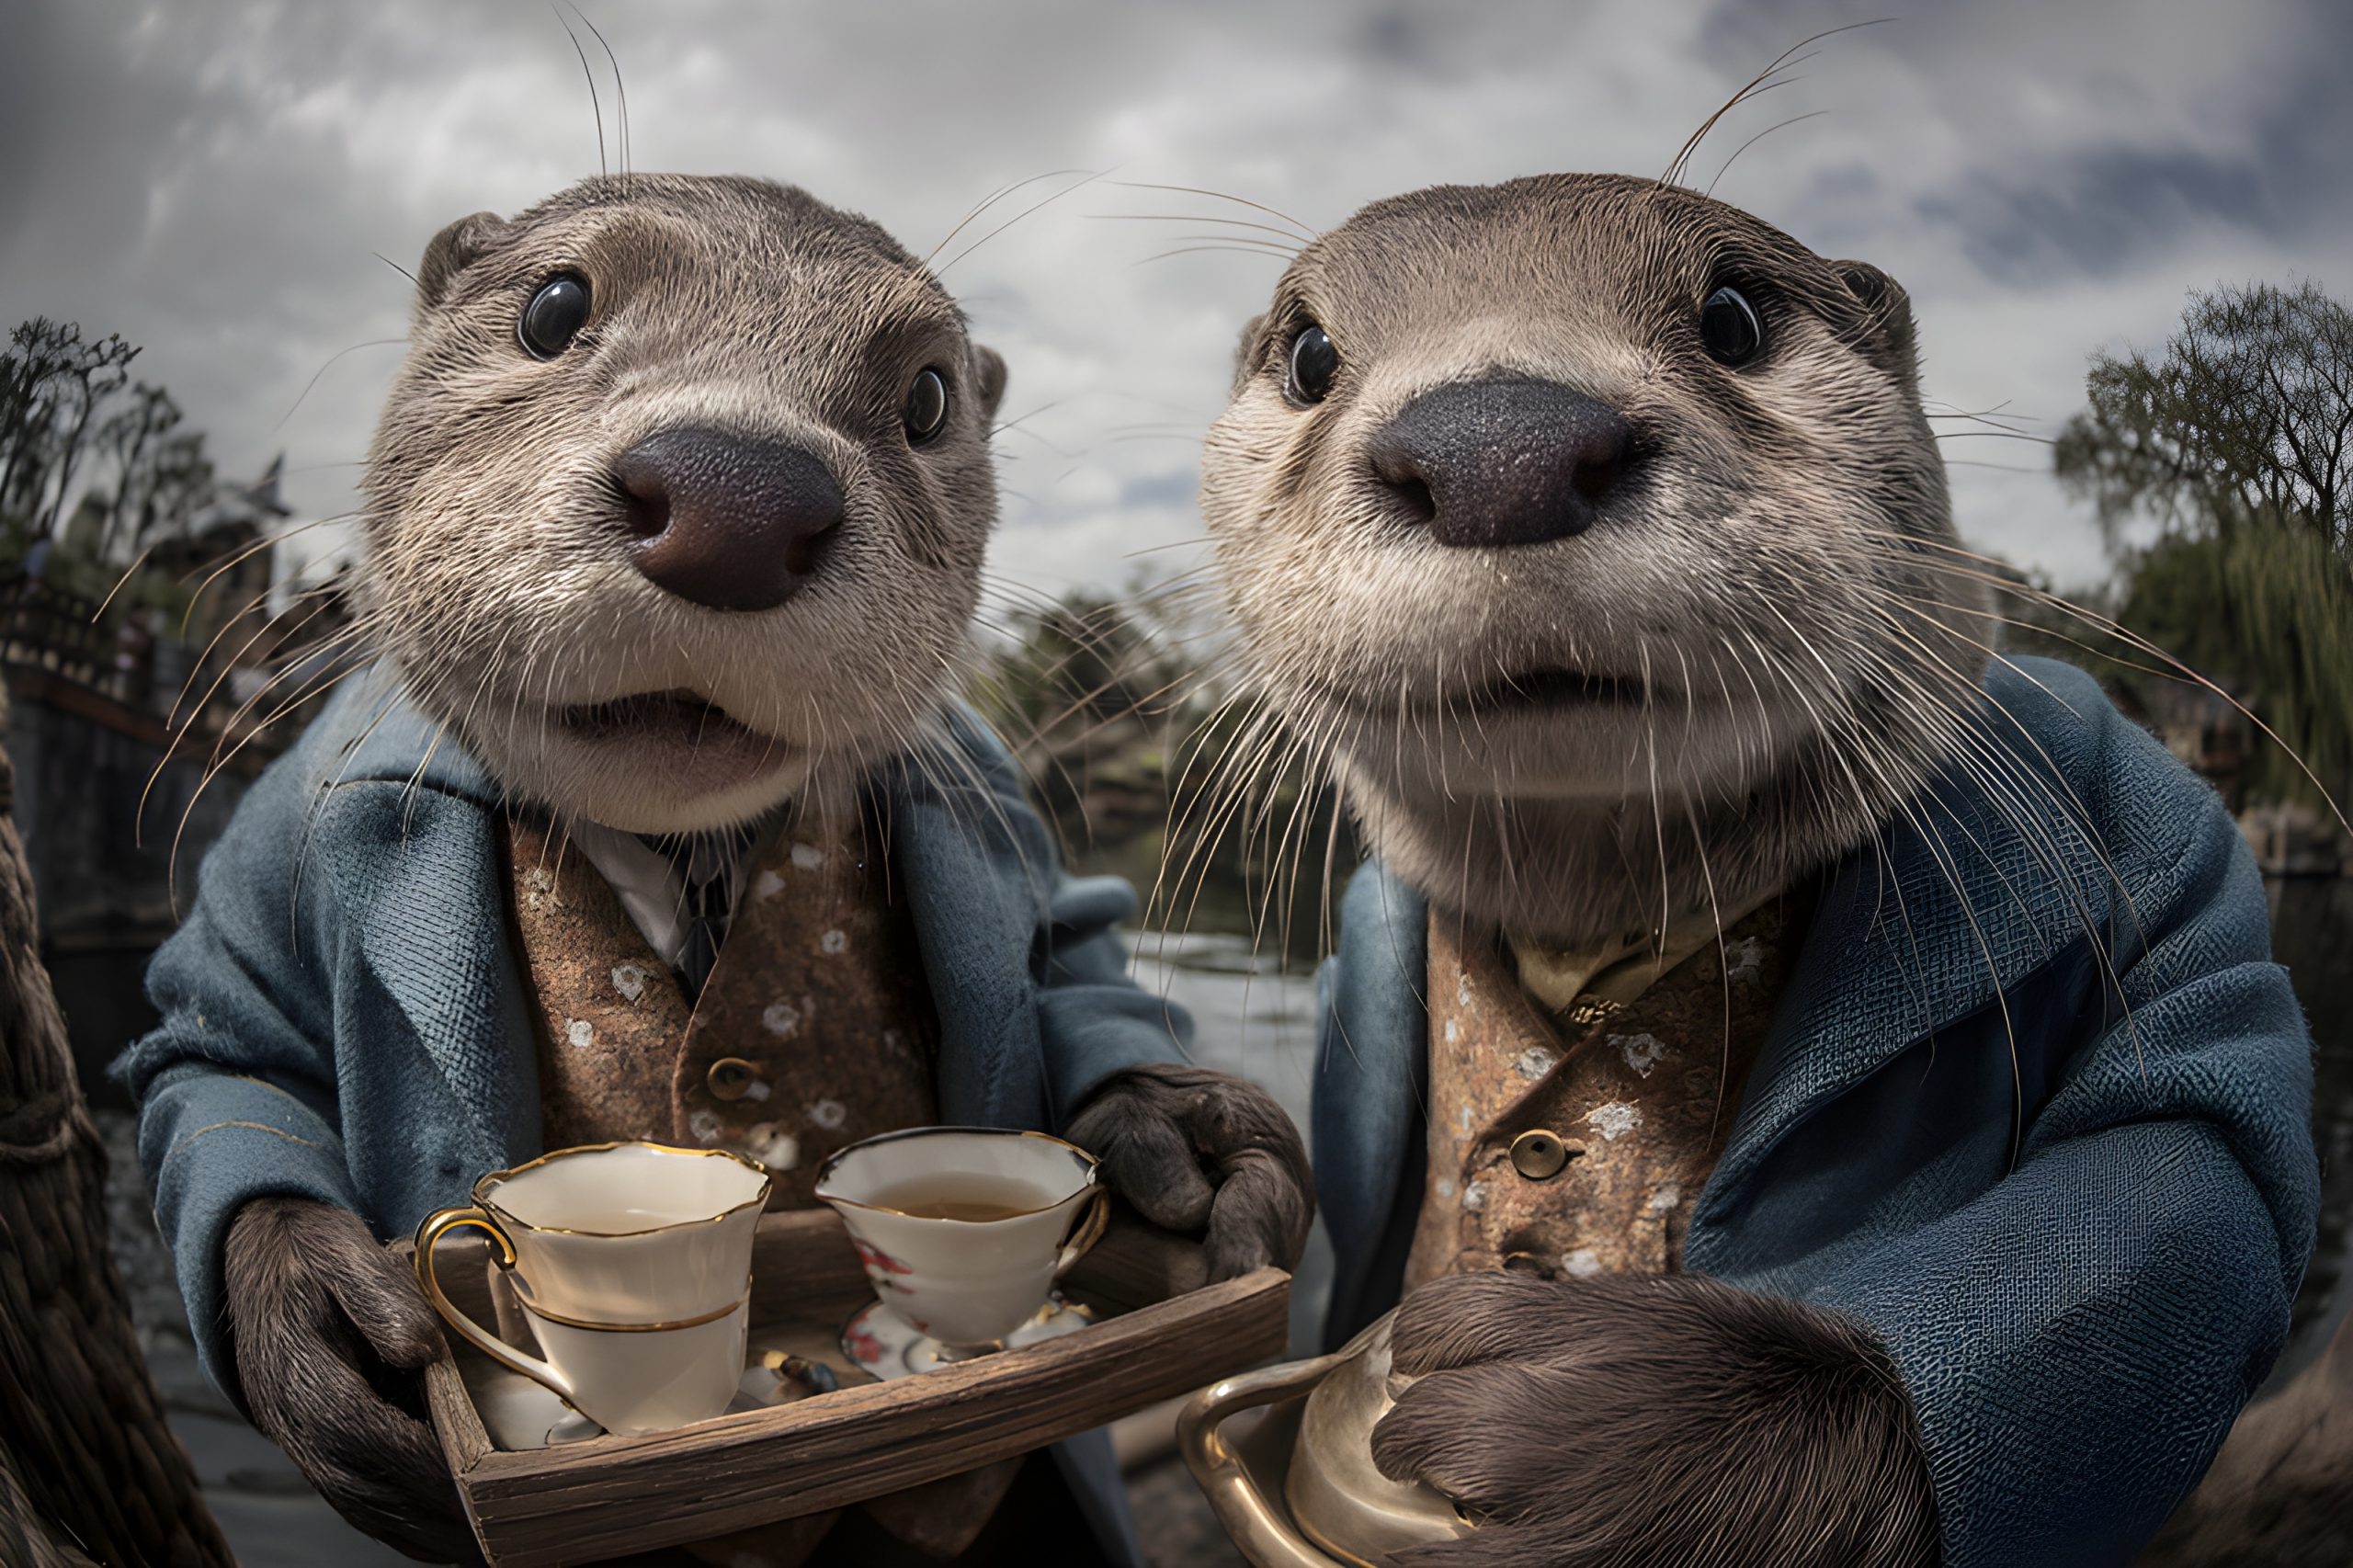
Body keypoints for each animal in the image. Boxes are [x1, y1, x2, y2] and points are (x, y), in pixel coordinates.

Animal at [115, 174, 1312, 1568]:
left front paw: (1176, 1135)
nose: (737, 494)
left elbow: (1071, 945)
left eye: (928, 398)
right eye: (553, 305)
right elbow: (214, 1046)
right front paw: (317, 1314)